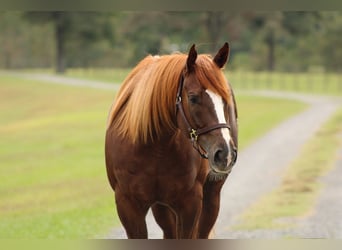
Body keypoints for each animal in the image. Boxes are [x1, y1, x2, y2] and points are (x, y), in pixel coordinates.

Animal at [105, 43, 238, 238]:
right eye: (193, 98)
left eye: (225, 99)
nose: (225, 154)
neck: (155, 148)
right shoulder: (128, 205)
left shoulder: (190, 204)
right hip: (161, 207)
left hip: (212, 195)